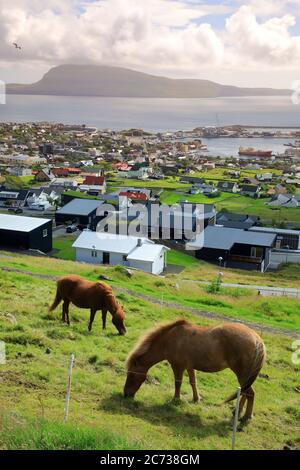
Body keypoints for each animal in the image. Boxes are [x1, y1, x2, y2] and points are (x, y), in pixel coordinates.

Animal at [125, 318, 266, 420]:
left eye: (131, 375)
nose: (126, 394)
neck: (170, 339)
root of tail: (257, 340)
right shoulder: (190, 367)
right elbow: (193, 382)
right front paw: (196, 399)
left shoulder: (178, 366)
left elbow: (178, 383)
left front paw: (175, 399)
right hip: (246, 376)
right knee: (245, 391)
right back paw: (237, 411)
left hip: (242, 374)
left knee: (249, 393)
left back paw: (246, 417)